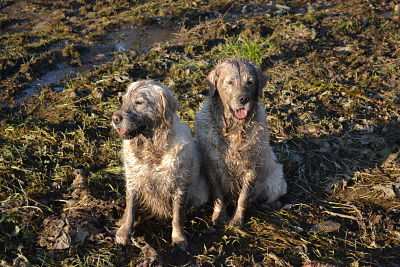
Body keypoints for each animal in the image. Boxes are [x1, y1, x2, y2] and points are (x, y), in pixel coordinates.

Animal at [111, 79, 208, 251]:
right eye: (123, 100)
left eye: (139, 102)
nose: (115, 118)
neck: (152, 148)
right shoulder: (133, 181)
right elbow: (130, 210)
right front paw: (124, 232)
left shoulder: (180, 185)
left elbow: (177, 216)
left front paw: (178, 238)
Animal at [195, 58, 286, 228]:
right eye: (230, 82)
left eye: (250, 82)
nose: (243, 99)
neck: (234, 128)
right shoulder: (212, 165)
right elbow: (218, 194)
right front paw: (219, 215)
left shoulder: (251, 166)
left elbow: (243, 197)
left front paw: (237, 219)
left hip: (275, 177)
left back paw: (272, 204)